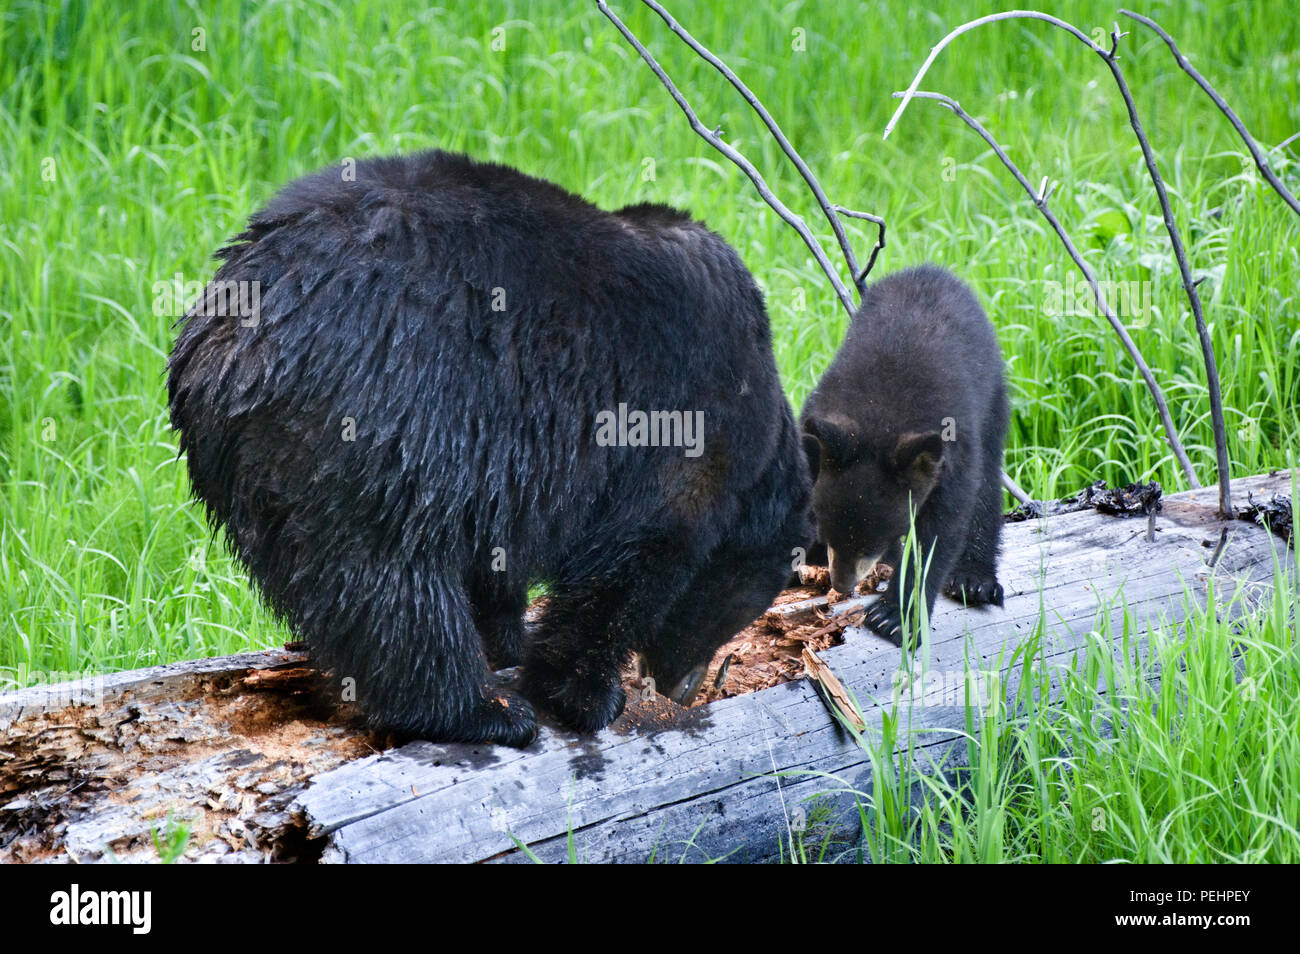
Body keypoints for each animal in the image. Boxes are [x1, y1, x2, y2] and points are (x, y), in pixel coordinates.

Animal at [167, 149, 806, 748]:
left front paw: (511, 640)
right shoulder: (682, 419)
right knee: (391, 577)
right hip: (381, 419)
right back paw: (479, 711)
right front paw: (587, 693)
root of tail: (231, 337)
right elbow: (633, 557)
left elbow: (498, 557)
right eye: (743, 603)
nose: (685, 689)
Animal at [795, 265, 1008, 647]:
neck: (881, 414)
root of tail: (931, 270)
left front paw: (893, 617)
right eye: (828, 524)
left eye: (872, 542)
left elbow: (939, 530)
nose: (841, 584)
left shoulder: (953, 445)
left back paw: (974, 580)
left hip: (994, 395)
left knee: (987, 485)